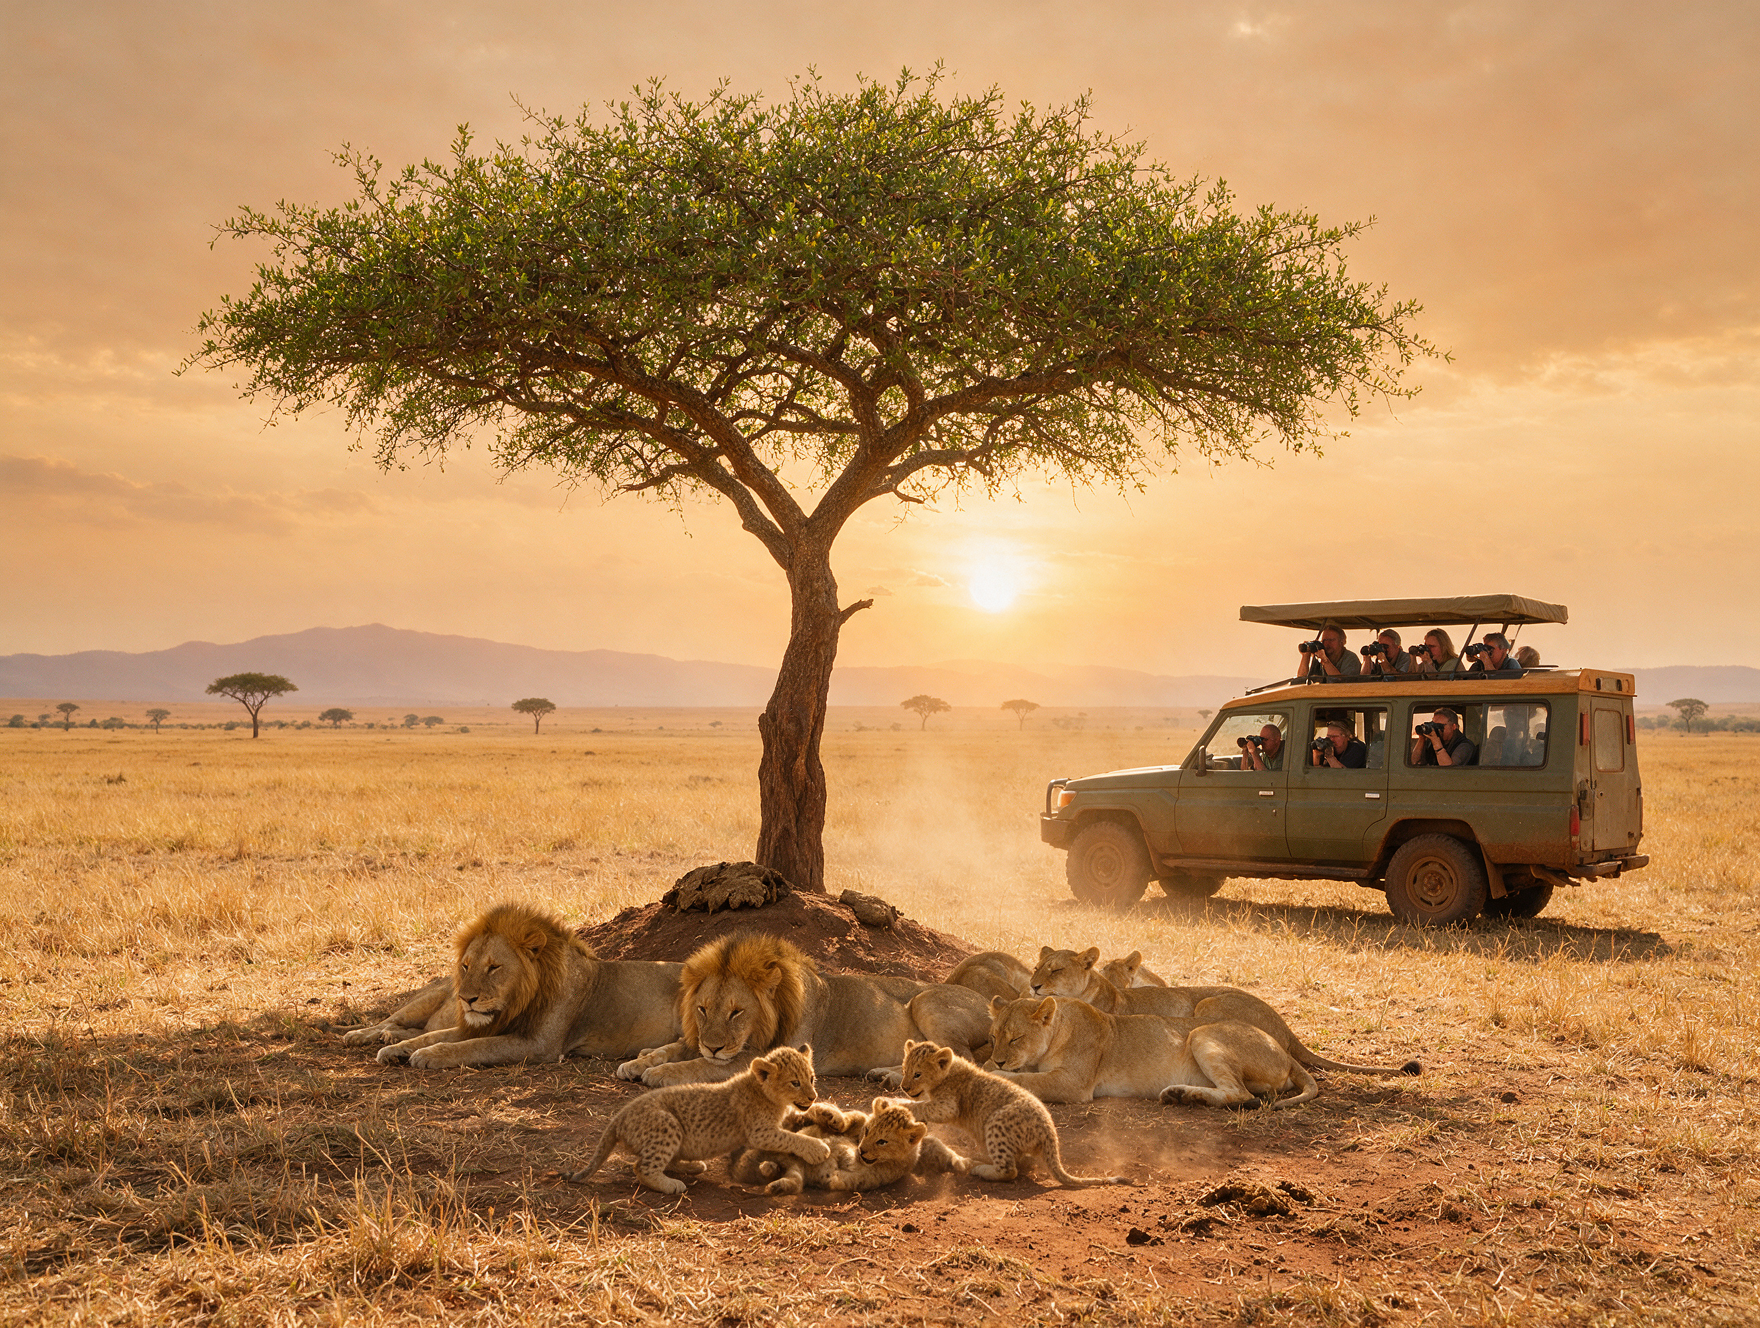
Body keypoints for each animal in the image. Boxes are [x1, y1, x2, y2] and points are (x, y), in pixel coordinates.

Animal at [342, 902, 682, 1070]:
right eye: (466, 966)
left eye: (494, 967)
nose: (465, 999)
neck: (517, 1001)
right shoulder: (487, 1024)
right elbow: (435, 1035)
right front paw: (397, 1050)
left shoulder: (538, 1044)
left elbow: (471, 1046)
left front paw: (429, 1056)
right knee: (393, 1020)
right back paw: (367, 1035)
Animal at [615, 931, 993, 1087]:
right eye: (703, 1009)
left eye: (736, 1012)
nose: (713, 1046)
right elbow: (669, 1049)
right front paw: (635, 1064)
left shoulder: (759, 1059)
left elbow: (696, 1066)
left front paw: (661, 1074)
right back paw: (886, 1075)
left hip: (925, 1001)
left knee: (963, 1061)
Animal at [987, 996, 1317, 1108]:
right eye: (993, 1037)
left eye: (1016, 1038)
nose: (999, 1059)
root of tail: (1286, 1053)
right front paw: (992, 1066)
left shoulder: (1074, 1084)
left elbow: (1030, 1081)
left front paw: (997, 1074)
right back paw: (1180, 1094)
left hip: (1201, 1034)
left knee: (1241, 1094)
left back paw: (1189, 1096)